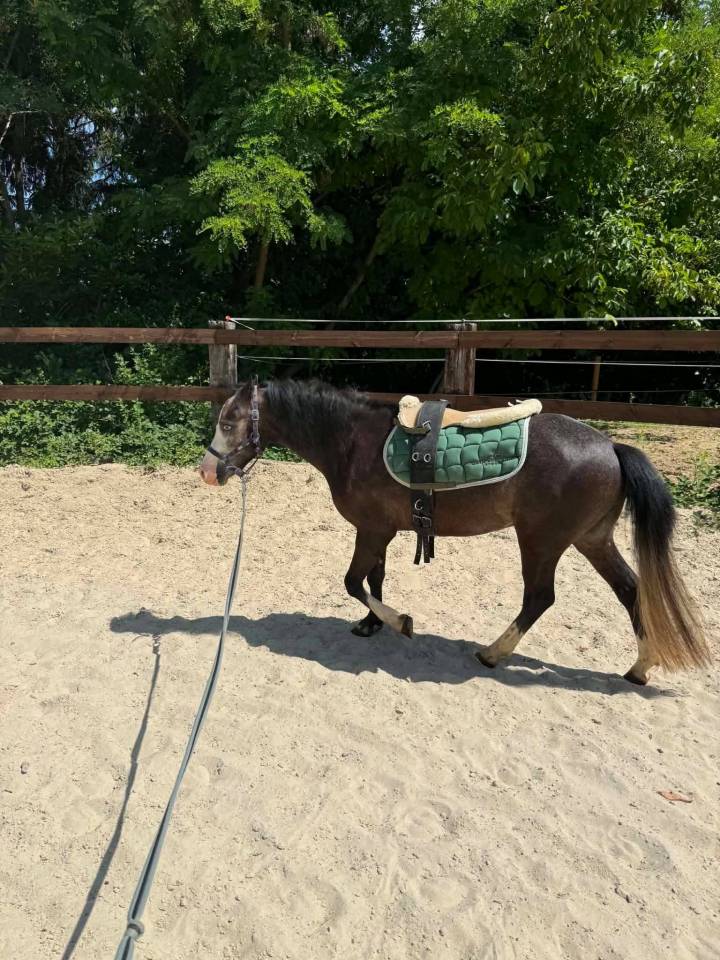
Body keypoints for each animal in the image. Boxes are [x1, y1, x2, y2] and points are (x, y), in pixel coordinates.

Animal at [199, 378, 710, 686]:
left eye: (228, 421)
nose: (207, 471)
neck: (352, 444)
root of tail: (610, 445)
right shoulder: (380, 530)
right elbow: (373, 579)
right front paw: (371, 624)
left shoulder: (371, 531)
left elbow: (352, 581)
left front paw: (399, 622)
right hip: (592, 540)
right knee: (631, 590)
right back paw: (640, 666)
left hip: (542, 541)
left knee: (539, 598)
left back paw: (492, 654)